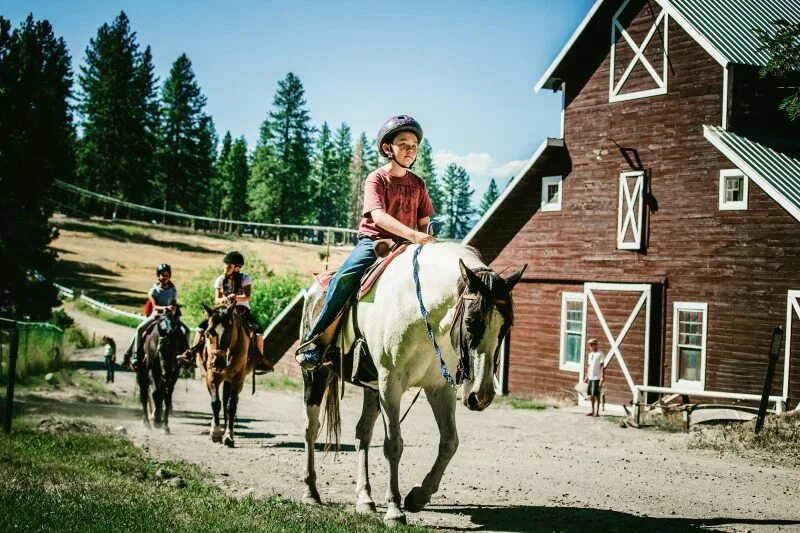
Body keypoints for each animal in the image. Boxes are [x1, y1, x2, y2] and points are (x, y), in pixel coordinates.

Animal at [199, 302, 253, 446]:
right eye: (209, 333)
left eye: (228, 331)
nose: (218, 362)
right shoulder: (212, 376)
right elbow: (215, 403)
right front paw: (216, 432)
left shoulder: (238, 379)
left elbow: (231, 406)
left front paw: (228, 436)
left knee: (229, 403)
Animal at [300, 243, 524, 524]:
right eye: (470, 321)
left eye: (507, 326)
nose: (480, 395)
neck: (420, 311)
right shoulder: (390, 385)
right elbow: (393, 444)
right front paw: (395, 510)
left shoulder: (439, 388)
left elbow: (449, 442)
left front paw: (418, 496)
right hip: (316, 376)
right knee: (311, 429)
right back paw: (311, 492)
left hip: (371, 387)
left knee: (363, 433)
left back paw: (365, 498)